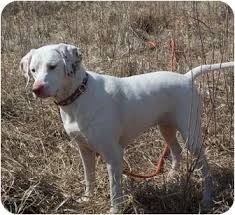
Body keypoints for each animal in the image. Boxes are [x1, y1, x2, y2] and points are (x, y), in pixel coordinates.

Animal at [20, 43, 233, 213]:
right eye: (33, 70)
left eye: (53, 66)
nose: (37, 89)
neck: (79, 97)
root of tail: (186, 77)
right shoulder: (85, 150)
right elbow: (89, 177)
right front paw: (87, 198)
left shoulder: (113, 156)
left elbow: (115, 190)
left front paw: (115, 210)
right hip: (166, 128)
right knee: (176, 151)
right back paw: (173, 176)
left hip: (191, 136)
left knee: (205, 169)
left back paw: (207, 200)